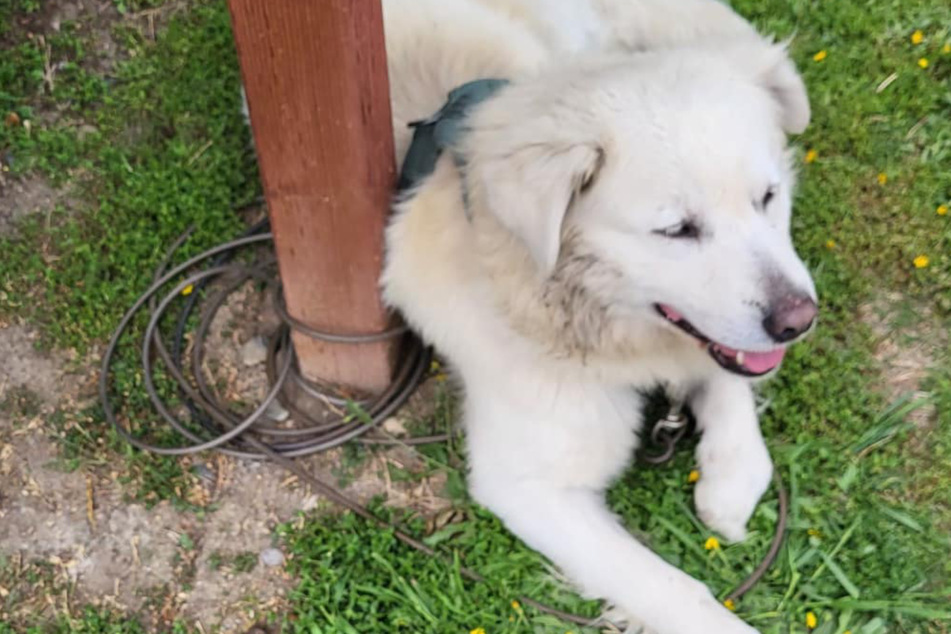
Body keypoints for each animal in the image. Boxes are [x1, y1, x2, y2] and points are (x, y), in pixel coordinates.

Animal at [380, 2, 820, 628]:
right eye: (677, 230)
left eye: (768, 198)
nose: (799, 321)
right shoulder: (526, 484)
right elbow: (680, 591)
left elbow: (730, 387)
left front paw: (728, 481)